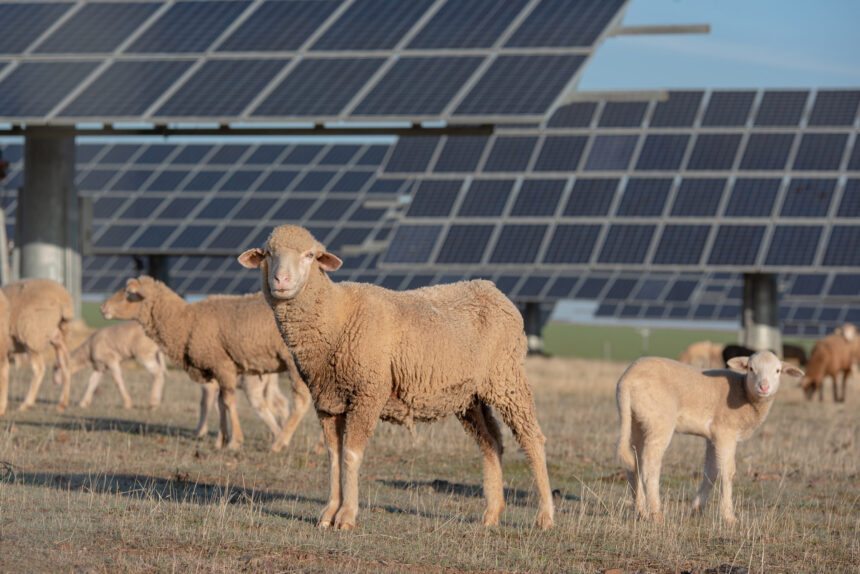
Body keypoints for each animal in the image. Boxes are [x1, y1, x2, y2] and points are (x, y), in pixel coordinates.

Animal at [2, 278, 74, 413]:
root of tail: (63, 298)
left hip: (32, 334)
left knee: (39, 369)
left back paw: (26, 403)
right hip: (60, 336)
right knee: (66, 366)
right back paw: (63, 403)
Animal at [101, 281, 311, 452]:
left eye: (129, 292)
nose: (103, 308)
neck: (185, 321)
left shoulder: (223, 365)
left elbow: (228, 402)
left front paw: (235, 442)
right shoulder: (216, 369)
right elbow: (220, 403)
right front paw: (221, 440)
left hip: (295, 362)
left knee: (301, 401)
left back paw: (279, 443)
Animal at [238, 225, 555, 531]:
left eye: (309, 256)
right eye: (268, 253)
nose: (281, 280)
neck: (336, 315)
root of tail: (492, 289)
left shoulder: (368, 393)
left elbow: (351, 455)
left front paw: (346, 517)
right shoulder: (327, 400)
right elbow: (333, 456)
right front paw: (328, 514)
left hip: (507, 378)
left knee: (532, 439)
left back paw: (545, 517)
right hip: (468, 396)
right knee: (491, 443)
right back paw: (491, 513)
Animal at [616, 351, 803, 524]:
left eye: (777, 370)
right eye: (751, 368)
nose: (764, 387)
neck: (744, 394)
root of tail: (627, 380)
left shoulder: (713, 437)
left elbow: (711, 472)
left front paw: (697, 508)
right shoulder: (725, 432)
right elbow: (728, 472)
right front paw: (728, 516)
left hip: (637, 420)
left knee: (634, 464)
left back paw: (641, 511)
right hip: (659, 420)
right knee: (650, 465)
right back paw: (657, 514)